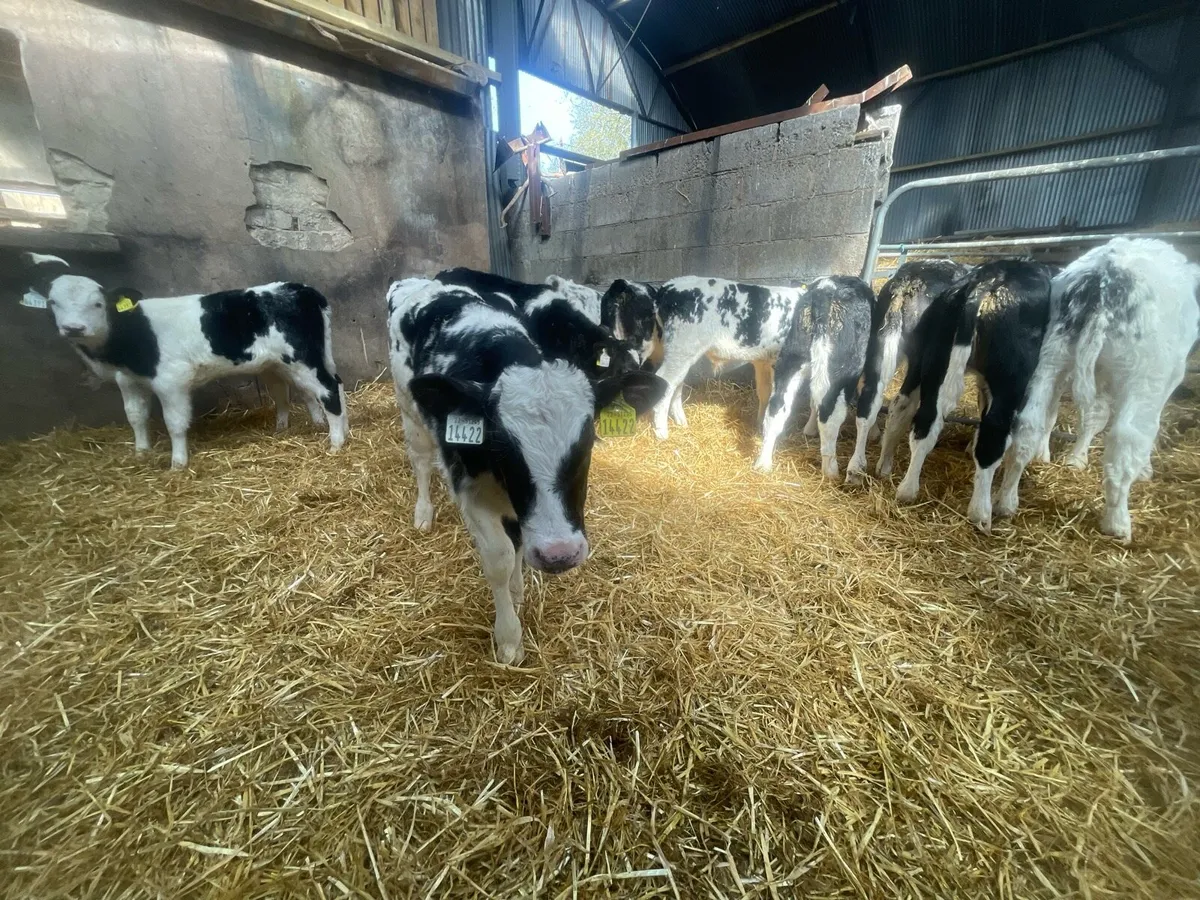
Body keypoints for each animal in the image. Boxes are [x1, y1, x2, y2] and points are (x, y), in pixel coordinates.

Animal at [23, 253, 347, 469]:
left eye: (98, 304)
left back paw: (336, 442)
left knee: (328, 389)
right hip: (284, 361)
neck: (135, 333)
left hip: (302, 357)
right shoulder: (127, 380)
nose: (73, 328)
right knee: (315, 387)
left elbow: (175, 422)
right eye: (53, 303)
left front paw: (178, 462)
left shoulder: (172, 380)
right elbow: (135, 415)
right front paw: (141, 452)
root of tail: (302, 289)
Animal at [754, 276, 875, 477]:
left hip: (790, 360)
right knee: (829, 415)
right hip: (839, 373)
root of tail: (825, 289)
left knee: (776, 409)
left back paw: (763, 463)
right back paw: (831, 471)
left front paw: (809, 429)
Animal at [847, 259, 968, 482]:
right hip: (923, 359)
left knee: (870, 398)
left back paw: (857, 468)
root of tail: (906, 283)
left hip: (880, 342)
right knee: (902, 404)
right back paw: (885, 465)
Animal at [877, 260, 1054, 532]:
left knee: (910, 411)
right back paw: (982, 513)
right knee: (994, 433)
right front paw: (1008, 502)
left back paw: (896, 479)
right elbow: (1025, 437)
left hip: (929, 359)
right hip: (1009, 377)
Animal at [994, 238, 1200, 541]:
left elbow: (1092, 416)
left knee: (1028, 426)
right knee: (1126, 442)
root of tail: (1105, 276)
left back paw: (1007, 501)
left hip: (1051, 356)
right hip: (1144, 375)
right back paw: (1118, 522)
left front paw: (1075, 460)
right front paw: (1144, 469)